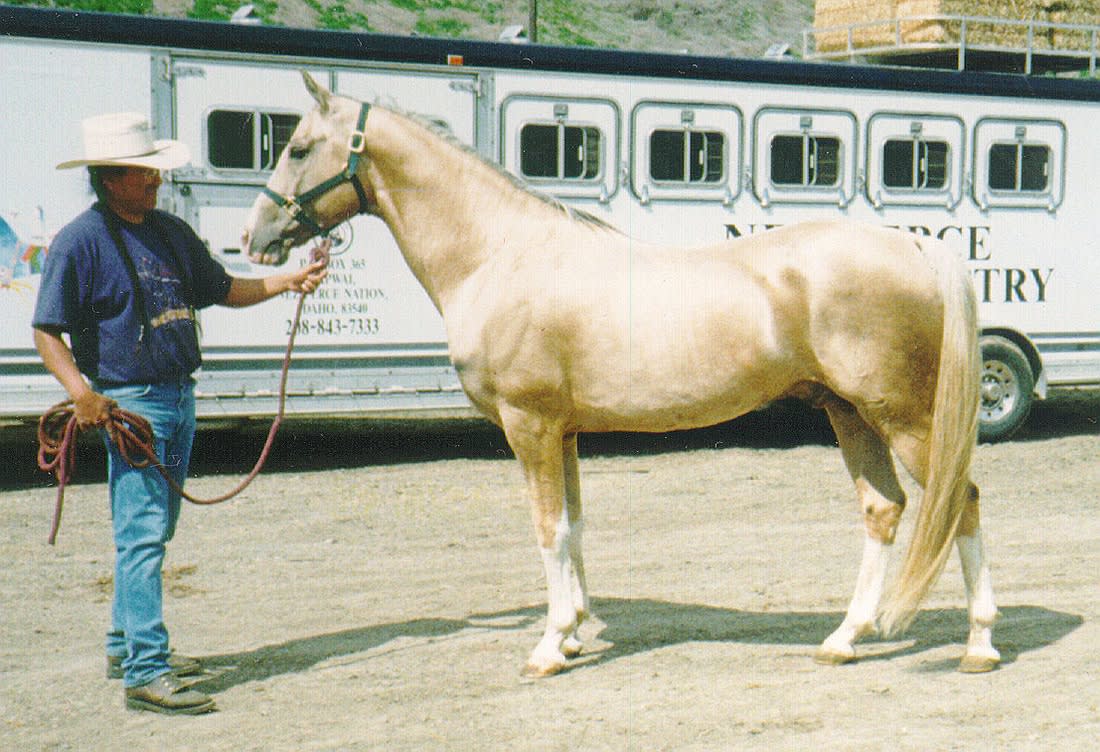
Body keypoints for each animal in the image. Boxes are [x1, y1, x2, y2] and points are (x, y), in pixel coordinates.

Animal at [242, 72, 999, 677]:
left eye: (298, 148)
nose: (254, 238)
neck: (500, 254)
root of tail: (913, 245)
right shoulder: (566, 432)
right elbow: (574, 527)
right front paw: (575, 632)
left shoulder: (530, 426)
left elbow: (548, 530)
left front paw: (549, 648)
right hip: (848, 412)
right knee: (884, 510)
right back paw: (844, 638)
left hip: (907, 418)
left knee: (959, 500)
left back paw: (980, 645)